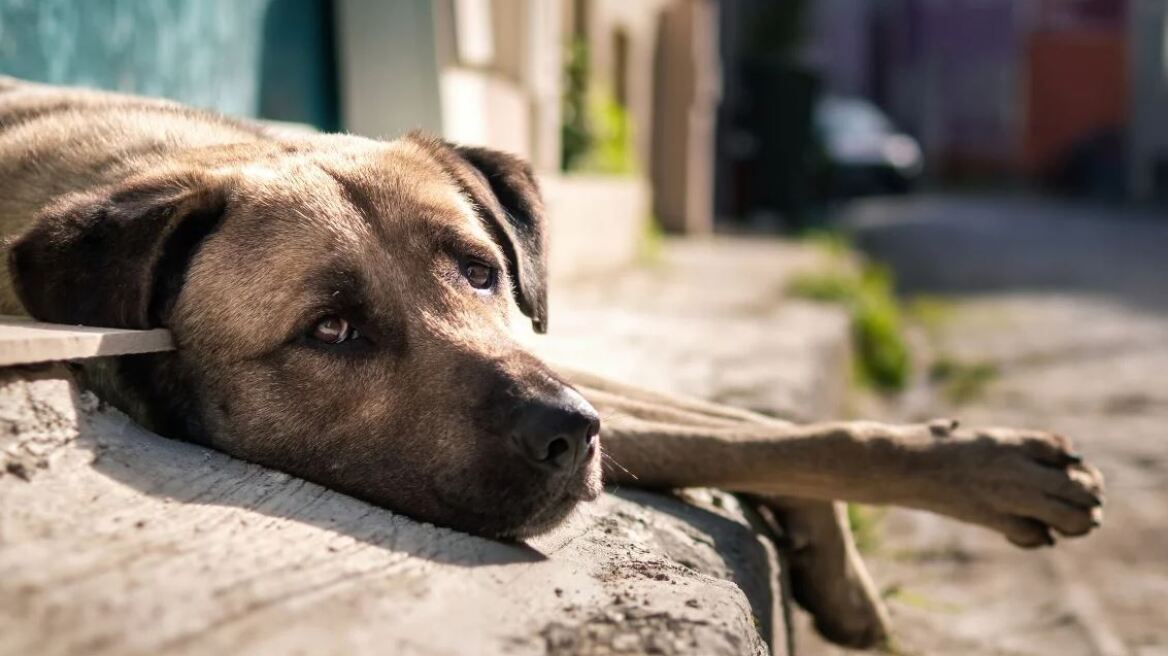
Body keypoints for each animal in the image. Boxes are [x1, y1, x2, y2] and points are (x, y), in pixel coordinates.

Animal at [0, 79, 1097, 644]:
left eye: (481, 270)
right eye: (331, 329)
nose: (571, 436)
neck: (156, 161)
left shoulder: (555, 355)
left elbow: (760, 427)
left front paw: (942, 488)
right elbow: (754, 435)